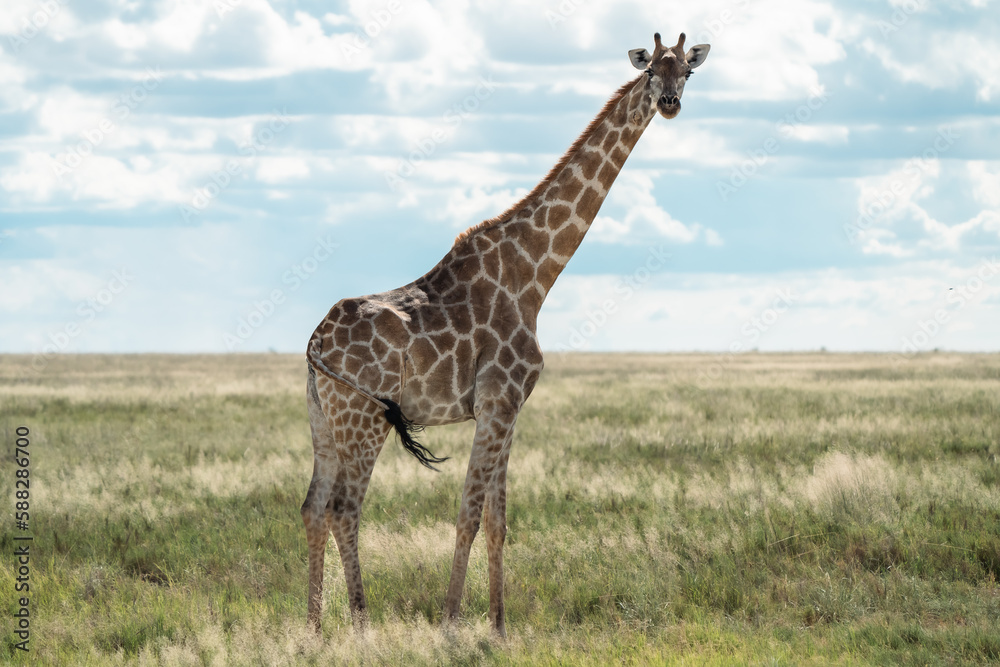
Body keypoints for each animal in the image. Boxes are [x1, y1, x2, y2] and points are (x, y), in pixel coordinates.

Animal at [302, 32, 710, 636]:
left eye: (686, 70)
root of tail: (314, 343)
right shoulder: (497, 400)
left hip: (322, 416)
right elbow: (468, 513)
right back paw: (361, 626)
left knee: (312, 507)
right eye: (651, 71)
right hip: (363, 417)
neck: (534, 275)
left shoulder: (510, 406)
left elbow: (498, 519)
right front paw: (450, 622)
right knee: (343, 509)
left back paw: (312, 630)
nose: (670, 103)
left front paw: (497, 624)